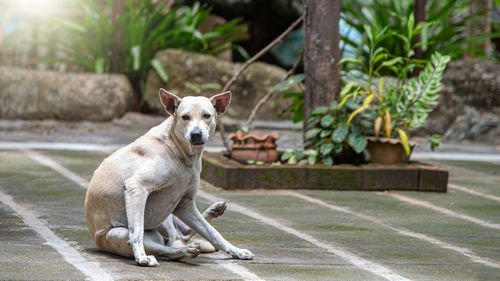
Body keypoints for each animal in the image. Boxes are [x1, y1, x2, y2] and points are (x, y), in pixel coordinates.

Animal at [84, 88, 254, 266]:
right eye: (185, 117)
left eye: (207, 116)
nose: (196, 134)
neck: (179, 151)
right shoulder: (136, 188)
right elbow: (136, 232)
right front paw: (141, 257)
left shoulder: (185, 204)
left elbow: (213, 233)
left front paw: (237, 251)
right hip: (119, 233)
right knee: (167, 250)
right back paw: (185, 250)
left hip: (169, 213)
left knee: (182, 235)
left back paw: (213, 212)